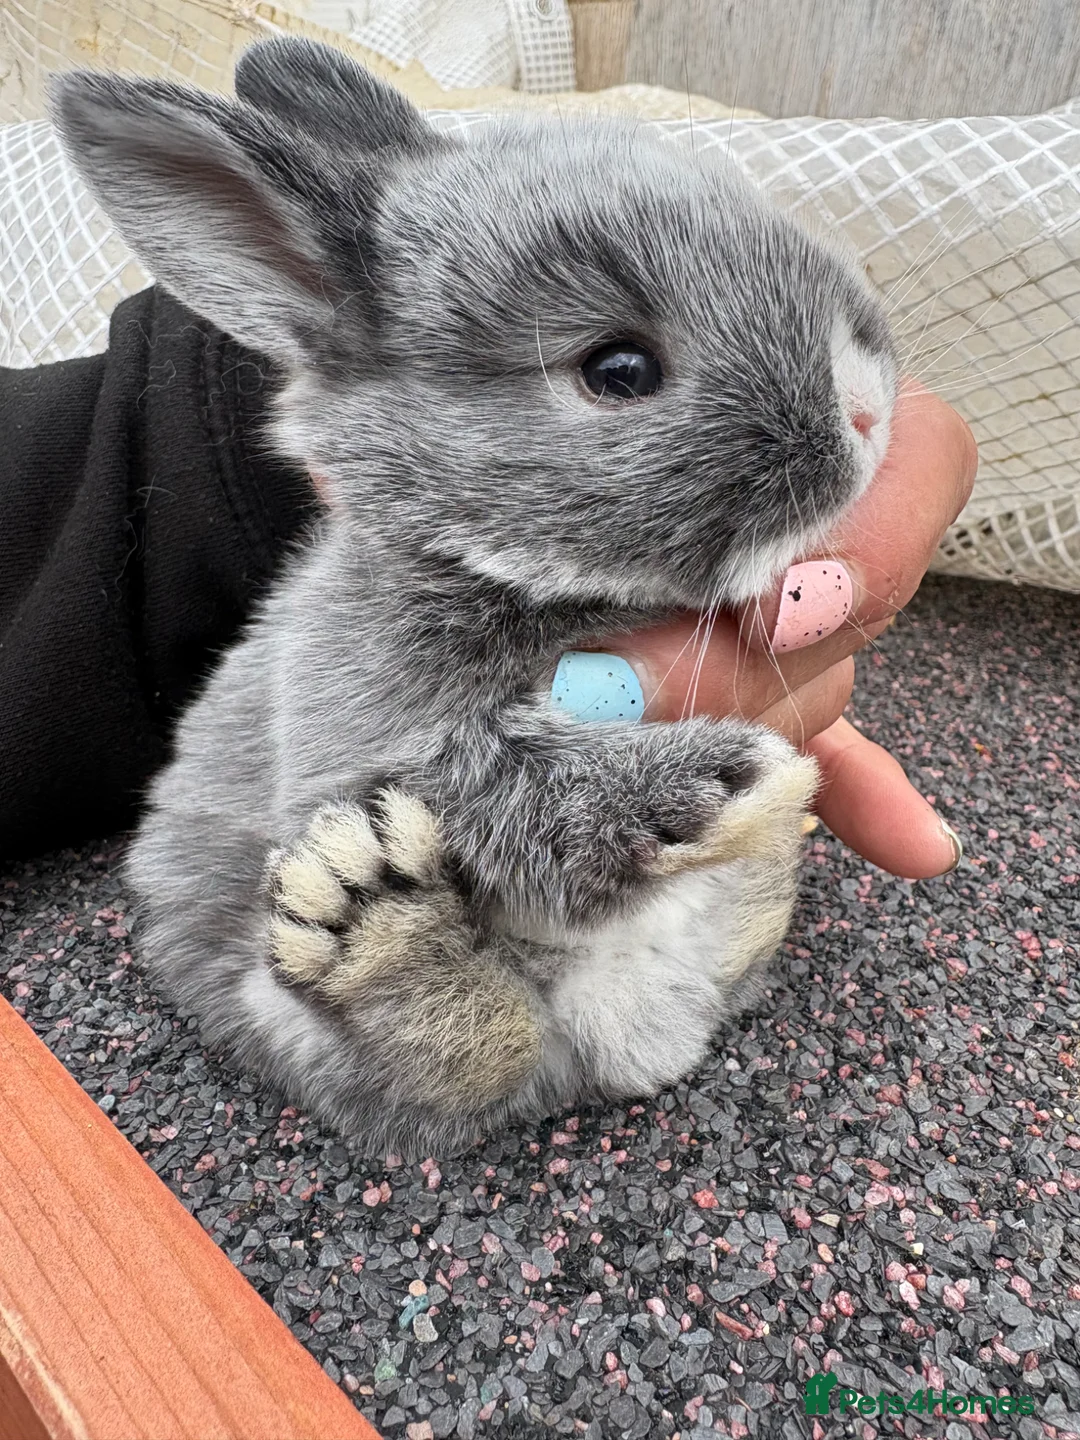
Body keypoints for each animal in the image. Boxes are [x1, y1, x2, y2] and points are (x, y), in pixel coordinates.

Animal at [50, 37, 896, 1158]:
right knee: (448, 1057)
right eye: (618, 369)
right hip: (271, 978)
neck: (515, 577)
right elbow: (508, 785)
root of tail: (627, 1031)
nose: (868, 408)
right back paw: (375, 919)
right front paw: (712, 780)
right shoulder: (366, 745)